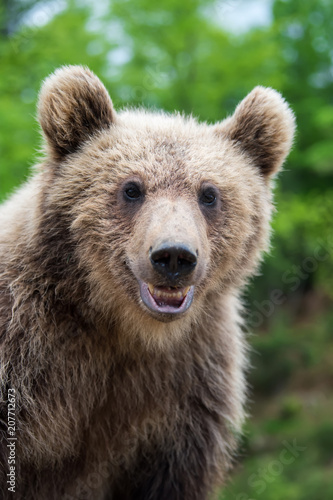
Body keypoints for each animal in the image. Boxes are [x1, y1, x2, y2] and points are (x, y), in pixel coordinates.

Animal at [0, 67, 294, 500]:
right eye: (131, 188)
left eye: (209, 194)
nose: (174, 256)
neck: (125, 328)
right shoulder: (25, 345)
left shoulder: (186, 390)